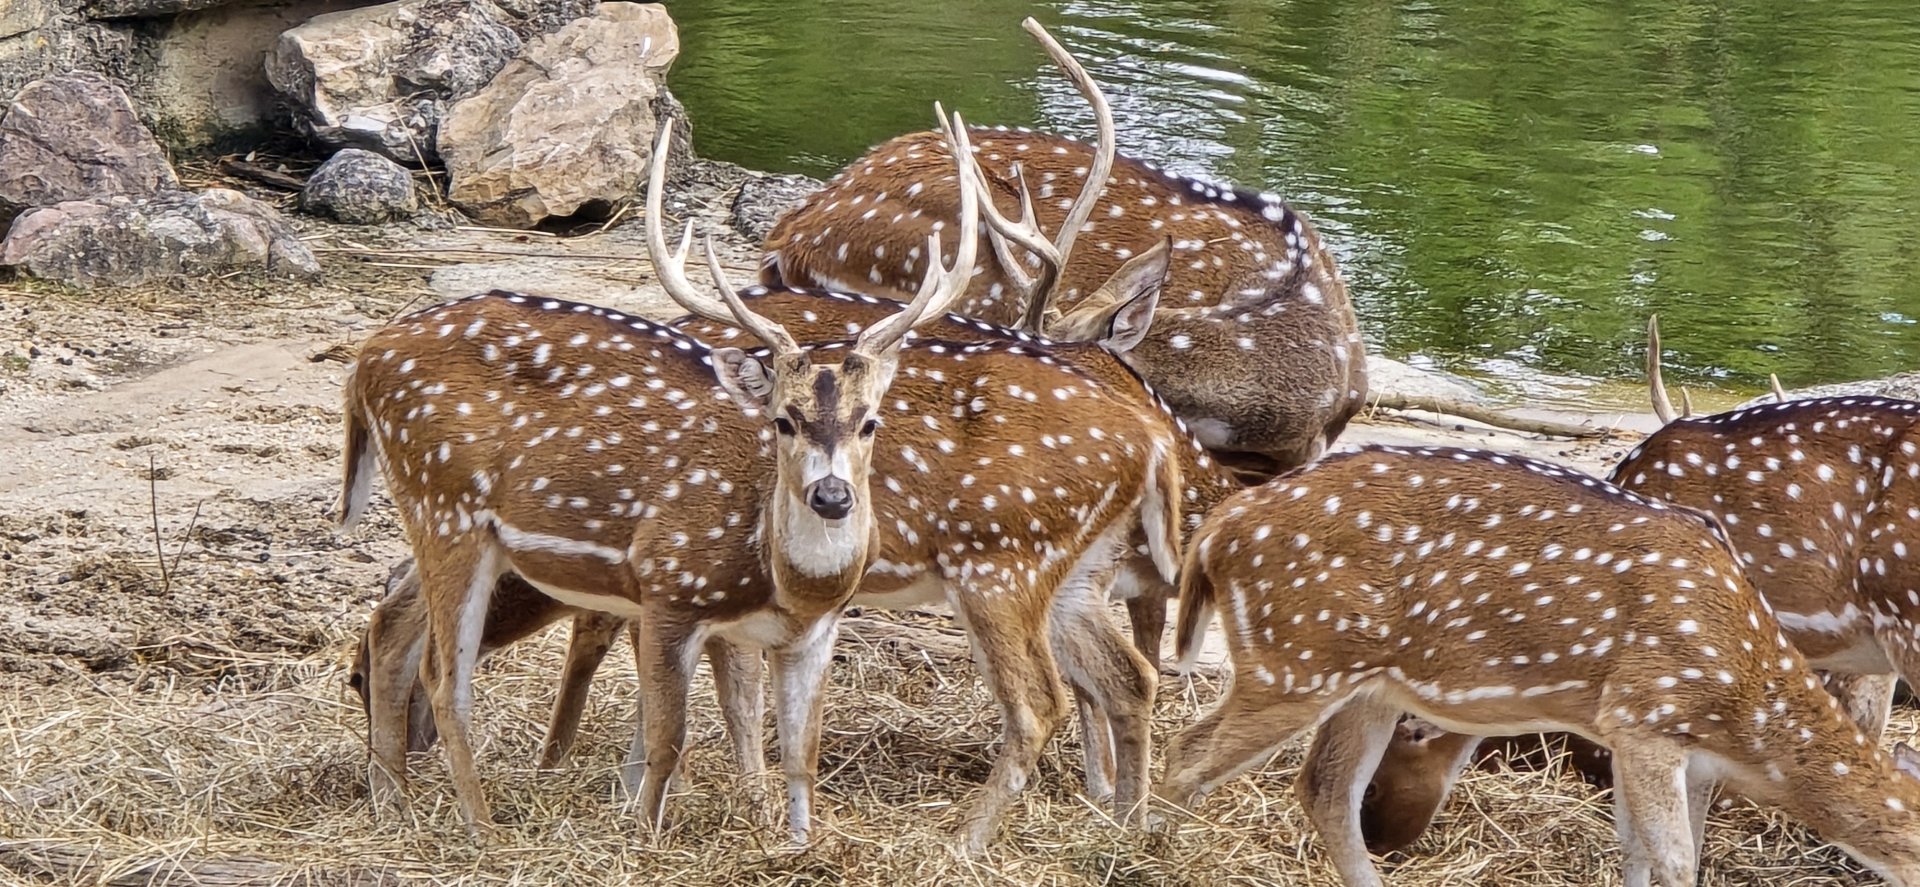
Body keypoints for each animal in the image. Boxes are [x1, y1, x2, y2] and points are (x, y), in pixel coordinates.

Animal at [342, 117, 1189, 850]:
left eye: (875, 423)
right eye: (781, 420)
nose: (833, 497)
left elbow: (721, 702)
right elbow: (713, 699)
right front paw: (689, 808)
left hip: (1010, 562)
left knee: (1075, 691)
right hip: (1036, 570)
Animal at [1155, 443, 1920, 887]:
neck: (1742, 714)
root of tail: (1217, 528)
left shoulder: (1649, 741)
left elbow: (1641, 848)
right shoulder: (1645, 713)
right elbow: (1675, 859)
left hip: (1364, 682)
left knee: (1324, 787)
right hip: (1296, 658)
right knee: (1189, 753)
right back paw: (1145, 849)